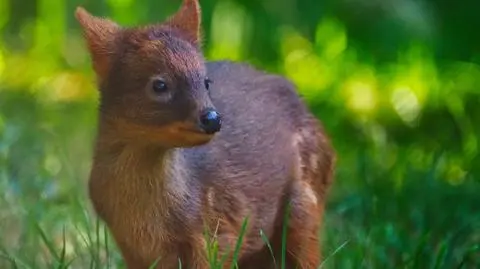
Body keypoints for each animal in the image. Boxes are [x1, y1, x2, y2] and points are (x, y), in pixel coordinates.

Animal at [76, 0, 334, 268]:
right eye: (159, 85)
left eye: (206, 81)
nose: (212, 119)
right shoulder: (132, 248)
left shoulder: (218, 233)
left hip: (305, 203)